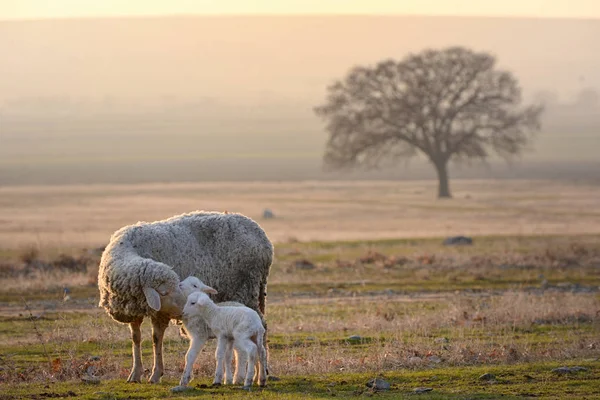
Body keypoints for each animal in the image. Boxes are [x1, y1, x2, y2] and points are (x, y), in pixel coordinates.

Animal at [97, 211, 274, 382]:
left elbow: (156, 339)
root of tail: (261, 237)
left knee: (262, 327)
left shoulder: (160, 312)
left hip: (247, 290)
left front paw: (156, 374)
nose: (184, 309)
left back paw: (260, 373)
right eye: (164, 292)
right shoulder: (135, 309)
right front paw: (135, 374)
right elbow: (136, 338)